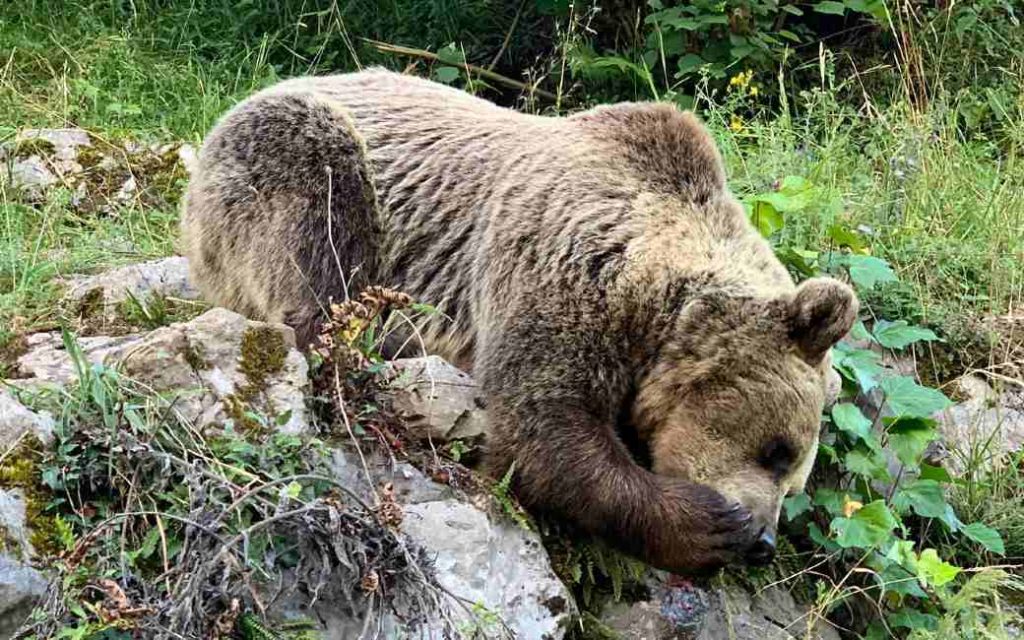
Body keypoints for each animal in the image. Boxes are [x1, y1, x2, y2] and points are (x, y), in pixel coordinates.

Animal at [182, 67, 856, 573]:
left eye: (795, 479)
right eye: (778, 450)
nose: (762, 541)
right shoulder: (559, 263)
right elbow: (541, 430)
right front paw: (705, 525)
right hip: (289, 164)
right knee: (320, 243)